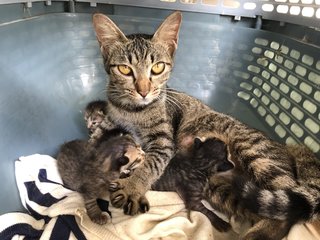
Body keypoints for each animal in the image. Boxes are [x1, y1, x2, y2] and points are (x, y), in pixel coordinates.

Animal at [90, 11, 320, 240]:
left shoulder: (163, 142)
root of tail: (287, 147)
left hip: (257, 156)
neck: (131, 110)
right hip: (223, 189)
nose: (144, 91)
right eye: (124, 69)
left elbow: (150, 164)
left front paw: (132, 187)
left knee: (285, 217)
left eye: (157, 68)